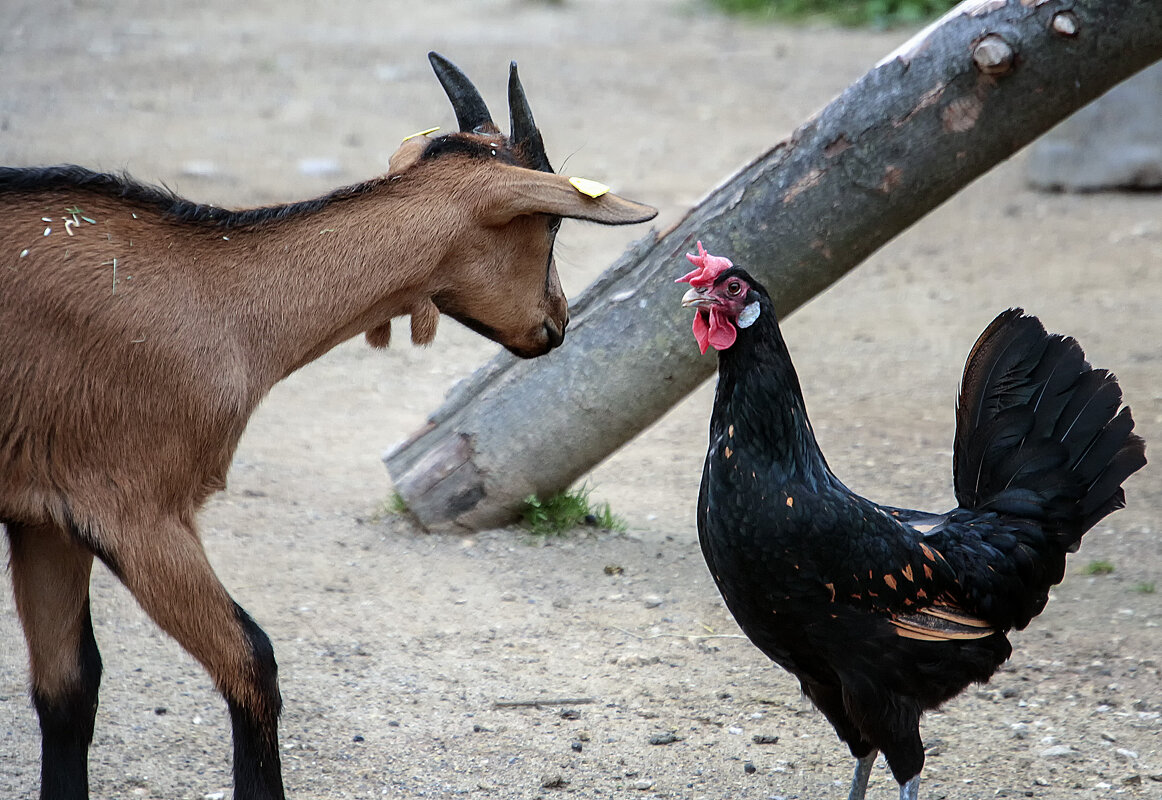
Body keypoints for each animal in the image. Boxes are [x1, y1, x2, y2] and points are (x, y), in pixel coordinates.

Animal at [0, 51, 655, 800]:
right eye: (550, 227)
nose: (557, 321)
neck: (215, 294)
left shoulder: (43, 513)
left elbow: (68, 688)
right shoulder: (133, 504)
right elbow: (251, 661)